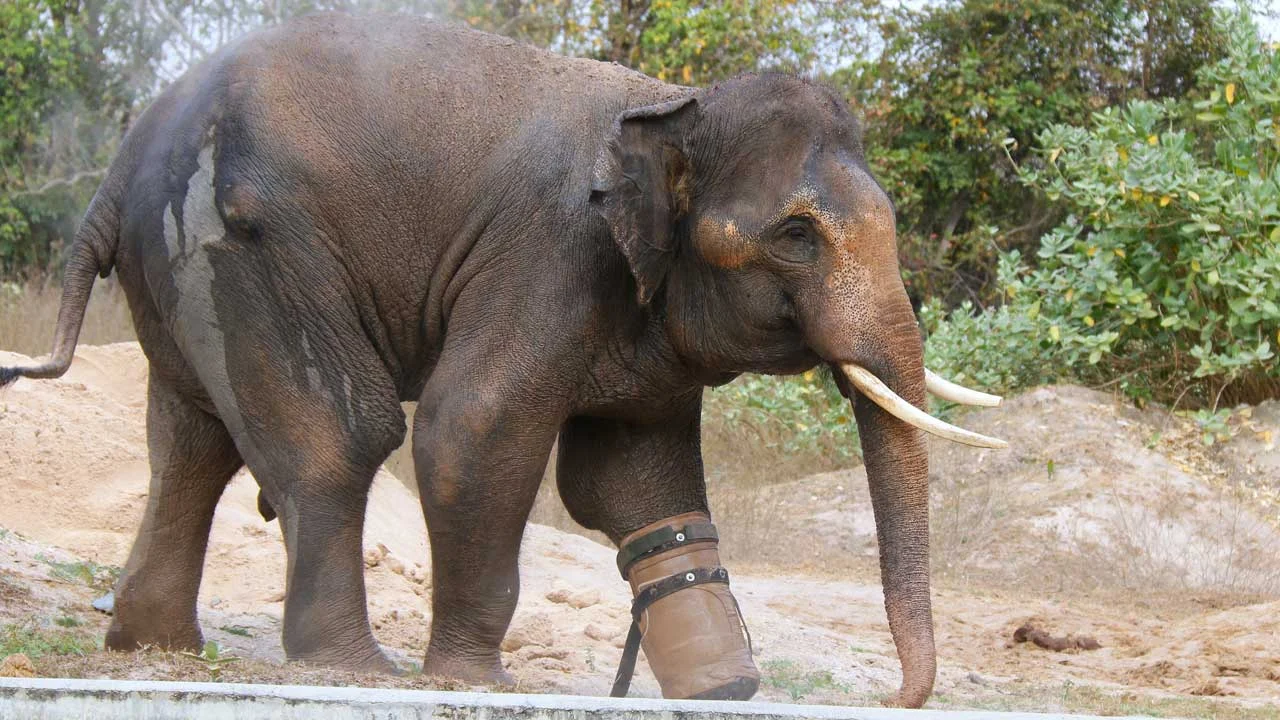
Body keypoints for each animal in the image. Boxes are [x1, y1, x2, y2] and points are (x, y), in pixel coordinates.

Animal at [0, 12, 1005, 707]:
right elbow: (472, 428)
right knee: (341, 437)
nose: (896, 698)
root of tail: (117, 164)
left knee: (191, 442)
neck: (673, 109)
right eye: (796, 237)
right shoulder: (548, 256)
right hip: (242, 246)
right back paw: (355, 670)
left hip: (182, 268)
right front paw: (473, 684)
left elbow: (633, 476)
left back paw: (154, 648)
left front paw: (723, 689)